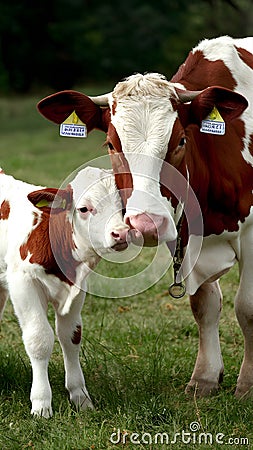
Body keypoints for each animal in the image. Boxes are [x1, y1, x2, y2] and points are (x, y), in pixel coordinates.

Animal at [0, 167, 129, 416]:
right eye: (84, 209)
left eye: (123, 206)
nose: (121, 233)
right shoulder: (22, 283)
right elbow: (39, 339)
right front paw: (41, 404)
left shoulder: (78, 289)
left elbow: (71, 337)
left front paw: (80, 396)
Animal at [37, 37, 253, 400]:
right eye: (111, 144)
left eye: (181, 141)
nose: (146, 225)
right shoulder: (187, 238)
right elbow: (205, 305)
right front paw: (205, 378)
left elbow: (247, 308)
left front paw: (248, 384)